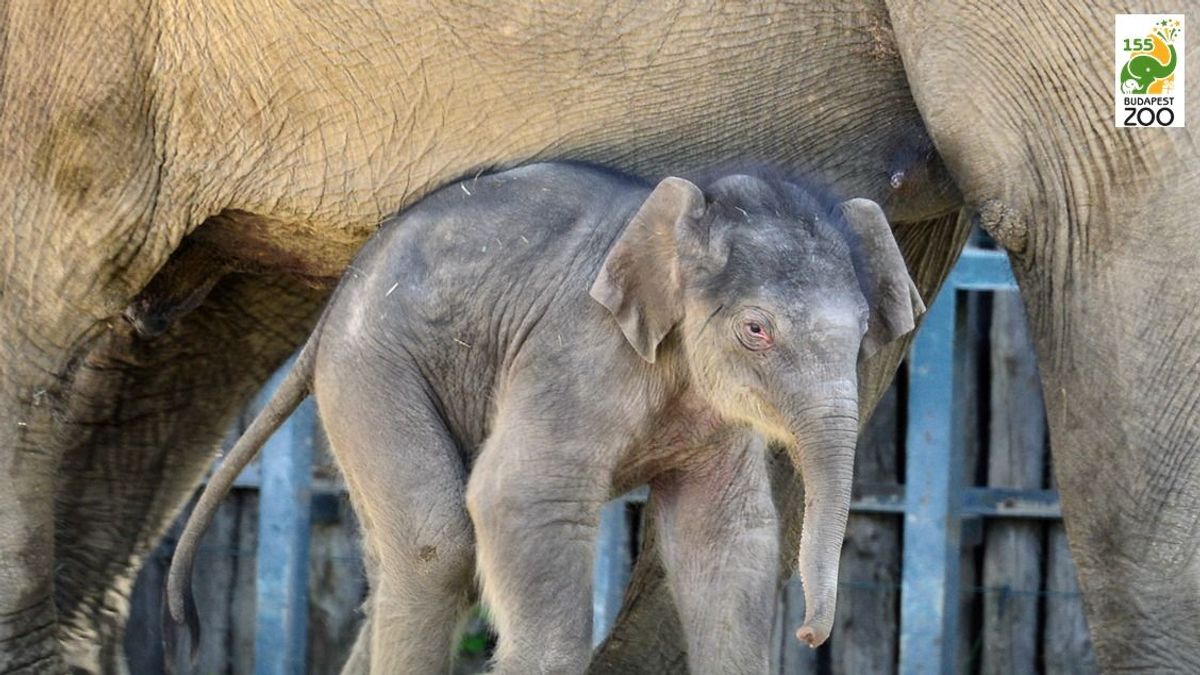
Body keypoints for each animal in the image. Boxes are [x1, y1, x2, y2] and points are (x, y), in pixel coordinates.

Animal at [166, 159, 916, 667]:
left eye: (863, 333)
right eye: (756, 329)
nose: (811, 633)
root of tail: (326, 316)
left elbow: (725, 535)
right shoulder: (576, 351)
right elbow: (521, 497)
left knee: (393, 559)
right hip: (372, 370)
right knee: (436, 545)